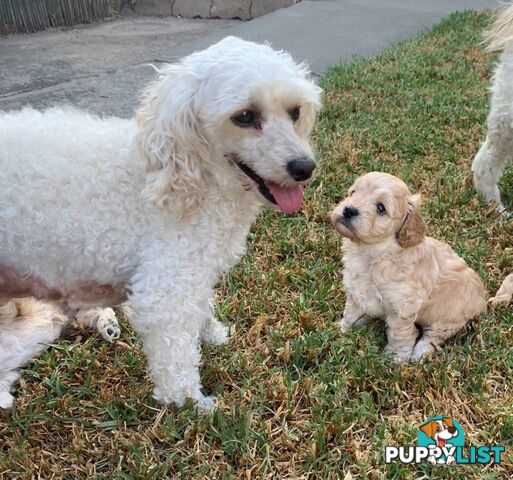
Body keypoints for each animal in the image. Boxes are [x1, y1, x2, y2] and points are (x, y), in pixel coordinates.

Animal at [0, 38, 320, 412]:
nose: (304, 167)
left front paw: (212, 335)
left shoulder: (195, 268)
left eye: (295, 112)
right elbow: (175, 354)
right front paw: (192, 404)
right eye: (244, 117)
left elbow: (200, 306)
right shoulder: (165, 286)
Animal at [330, 171, 486, 362]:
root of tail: (482, 298)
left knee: (434, 335)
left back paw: (421, 352)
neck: (373, 254)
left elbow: (399, 334)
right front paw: (342, 329)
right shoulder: (355, 290)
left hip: (449, 315)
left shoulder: (403, 307)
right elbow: (350, 313)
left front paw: (395, 358)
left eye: (381, 208)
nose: (349, 210)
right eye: (353, 192)